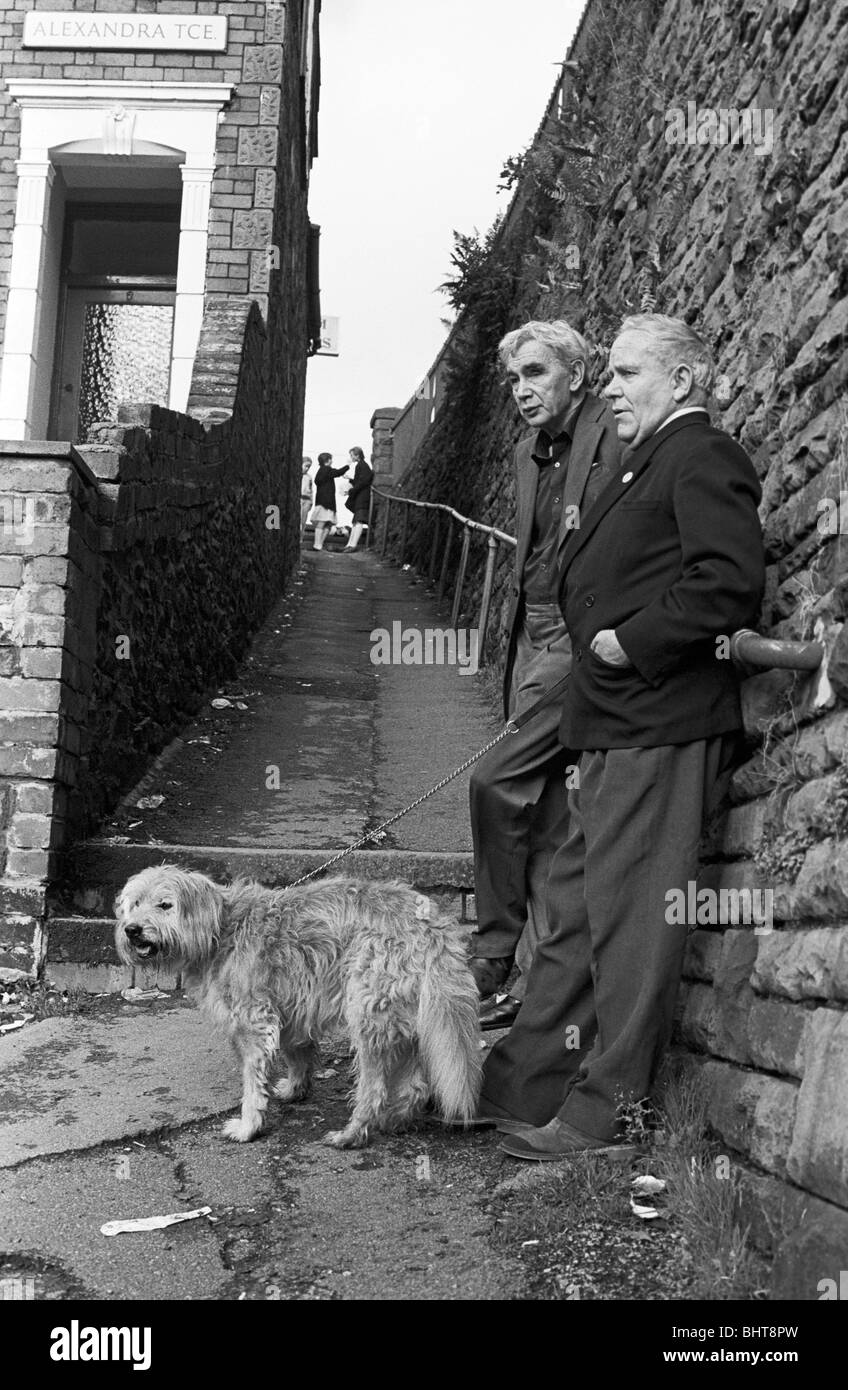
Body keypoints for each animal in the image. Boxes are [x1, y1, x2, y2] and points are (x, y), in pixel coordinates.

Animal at [114, 867, 478, 1150]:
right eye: (134, 904)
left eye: (165, 905)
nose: (132, 930)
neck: (222, 929)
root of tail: (428, 921)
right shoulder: (292, 1013)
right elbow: (297, 1054)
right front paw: (295, 1088)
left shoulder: (254, 1023)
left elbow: (252, 1086)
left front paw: (248, 1126)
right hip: (404, 1018)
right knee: (415, 1086)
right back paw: (396, 1120)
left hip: (369, 1017)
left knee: (373, 1090)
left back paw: (352, 1133)